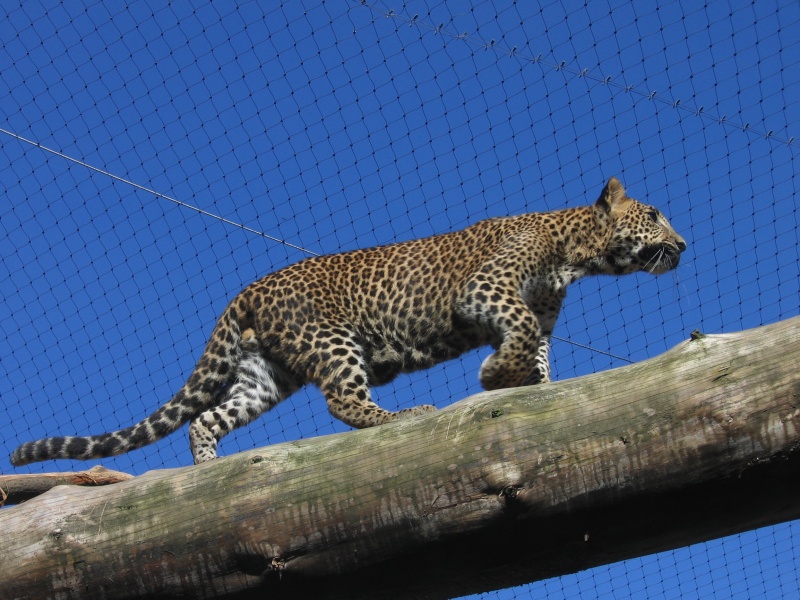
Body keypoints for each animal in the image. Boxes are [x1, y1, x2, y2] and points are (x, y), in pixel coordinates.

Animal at [11, 177, 686, 466]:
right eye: (655, 214)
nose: (684, 244)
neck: (575, 253)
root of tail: (249, 288)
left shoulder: (537, 313)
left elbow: (538, 351)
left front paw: (536, 390)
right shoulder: (487, 290)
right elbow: (516, 335)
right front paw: (497, 377)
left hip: (266, 369)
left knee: (207, 415)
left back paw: (208, 468)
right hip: (331, 339)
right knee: (341, 401)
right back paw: (402, 415)